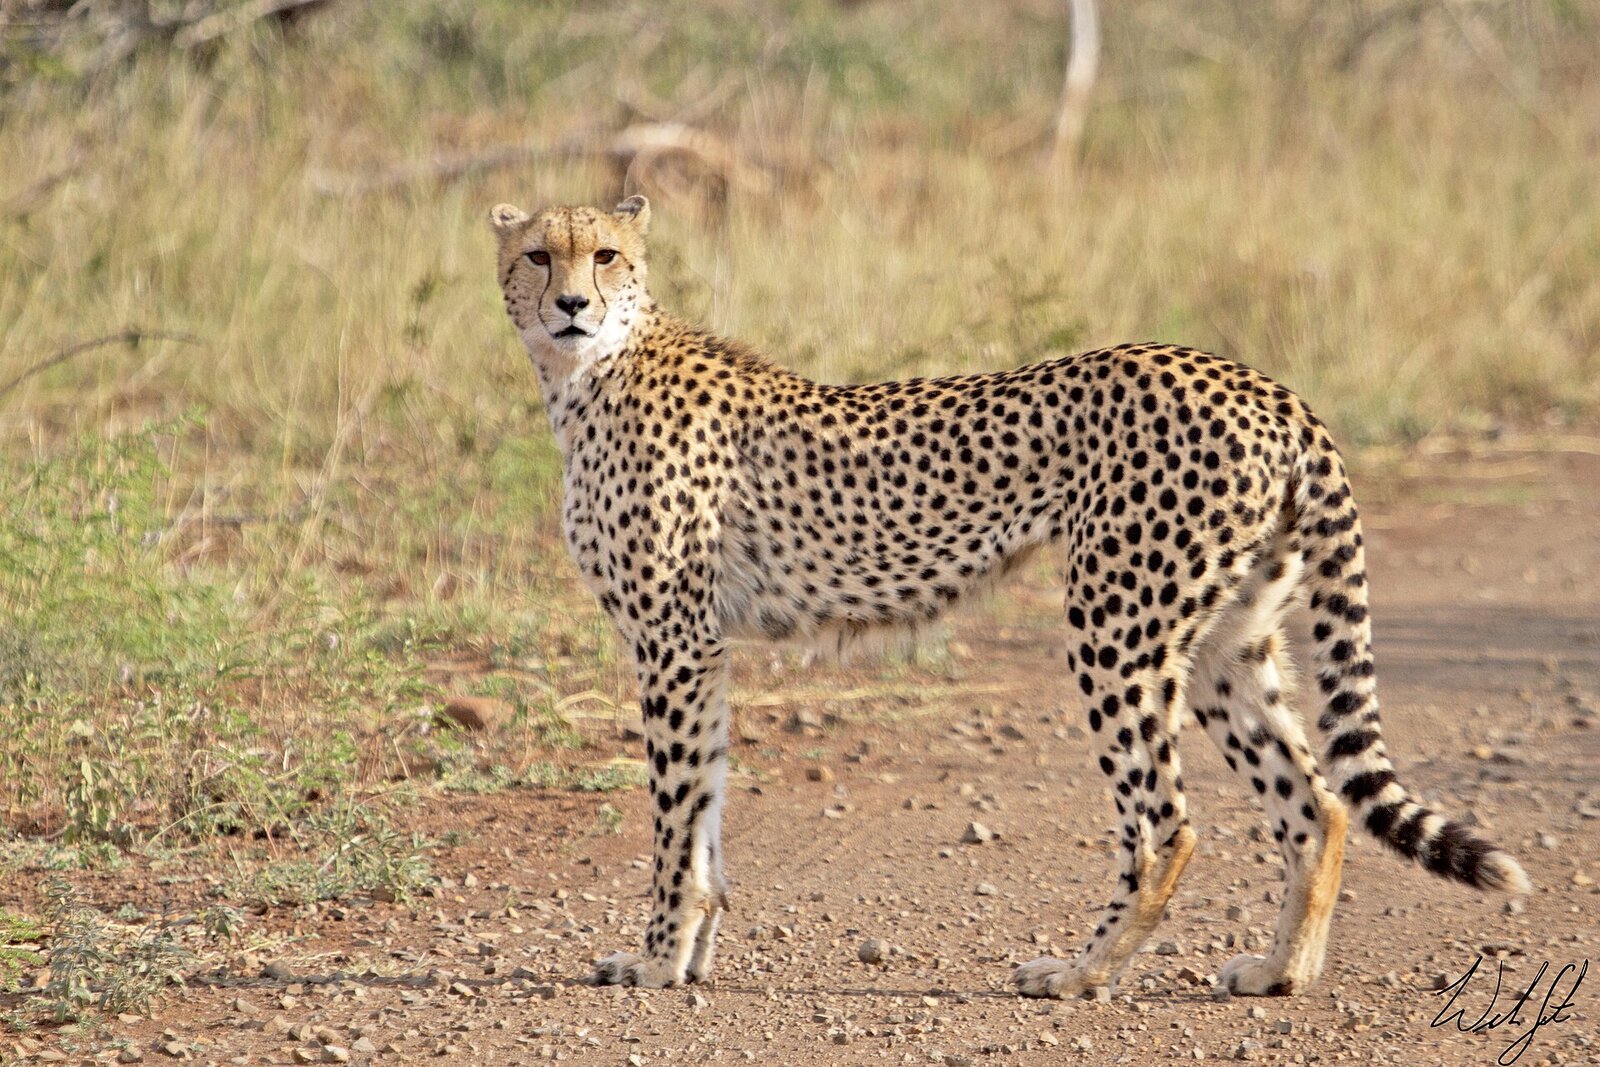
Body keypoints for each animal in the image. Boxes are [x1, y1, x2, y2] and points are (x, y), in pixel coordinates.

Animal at [489, 195, 1531, 999]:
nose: (572, 303)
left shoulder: (670, 640)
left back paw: (1080, 972)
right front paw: (687, 957)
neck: (588, 373)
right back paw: (1280, 973)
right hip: (1227, 637)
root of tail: (1264, 384)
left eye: (606, 254)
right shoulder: (700, 646)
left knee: (1167, 824)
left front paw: (658, 959)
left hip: (1116, 625)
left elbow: (674, 820)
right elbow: (702, 809)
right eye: (539, 254)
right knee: (1315, 803)